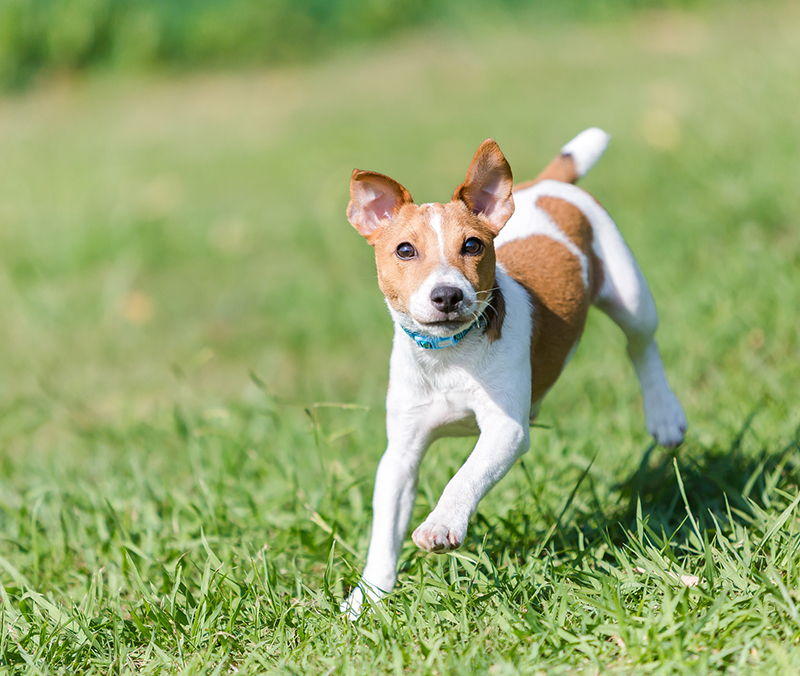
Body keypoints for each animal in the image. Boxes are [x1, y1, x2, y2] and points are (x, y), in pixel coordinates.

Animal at [340, 128, 684, 616]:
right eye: (404, 250)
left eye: (472, 245)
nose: (448, 295)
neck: (450, 356)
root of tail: (547, 182)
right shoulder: (400, 453)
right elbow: (384, 533)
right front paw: (366, 597)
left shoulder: (505, 429)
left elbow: (466, 475)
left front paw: (441, 523)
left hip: (630, 292)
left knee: (641, 345)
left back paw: (664, 414)